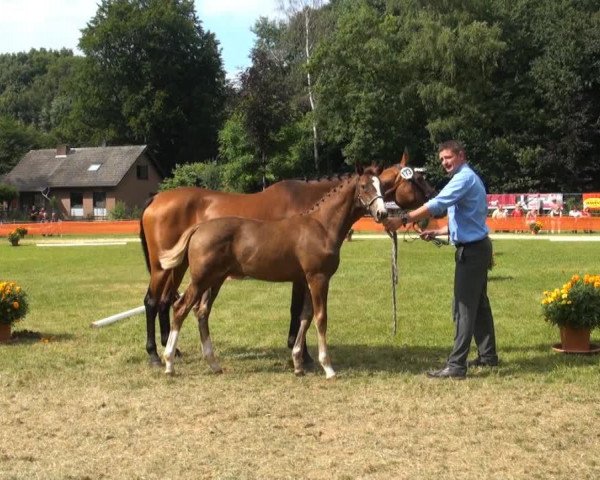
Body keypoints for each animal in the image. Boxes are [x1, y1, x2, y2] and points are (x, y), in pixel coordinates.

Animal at [159, 168, 386, 378]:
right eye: (364, 186)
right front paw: (328, 367)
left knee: (202, 312)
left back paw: (213, 364)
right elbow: (321, 318)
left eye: (381, 185)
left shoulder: (306, 280)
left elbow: (305, 316)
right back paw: (169, 363)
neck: (321, 226)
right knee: (180, 308)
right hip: (201, 280)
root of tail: (198, 228)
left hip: (215, 280)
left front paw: (298, 364)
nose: (382, 213)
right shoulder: (318, 278)